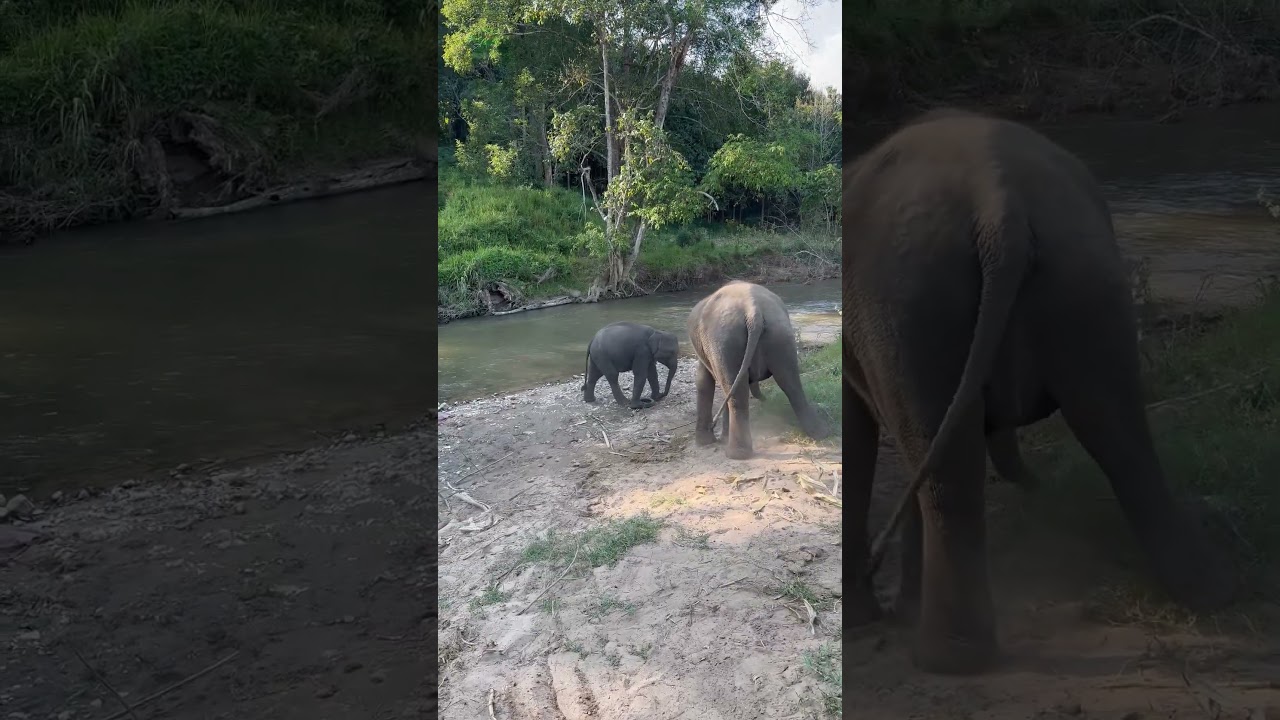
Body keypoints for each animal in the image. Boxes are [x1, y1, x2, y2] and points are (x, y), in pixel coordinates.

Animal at [687, 281, 830, 459]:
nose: (765, 400)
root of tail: (752, 311)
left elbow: (703, 381)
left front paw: (706, 442)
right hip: (779, 334)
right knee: (791, 384)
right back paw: (821, 433)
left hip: (725, 342)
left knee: (736, 394)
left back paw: (736, 454)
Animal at [841, 109, 1237, 675]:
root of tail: (997, 203)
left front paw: (870, 618)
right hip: (1082, 277)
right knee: (1121, 436)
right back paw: (1214, 593)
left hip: (909, 303)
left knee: (944, 465)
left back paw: (946, 660)